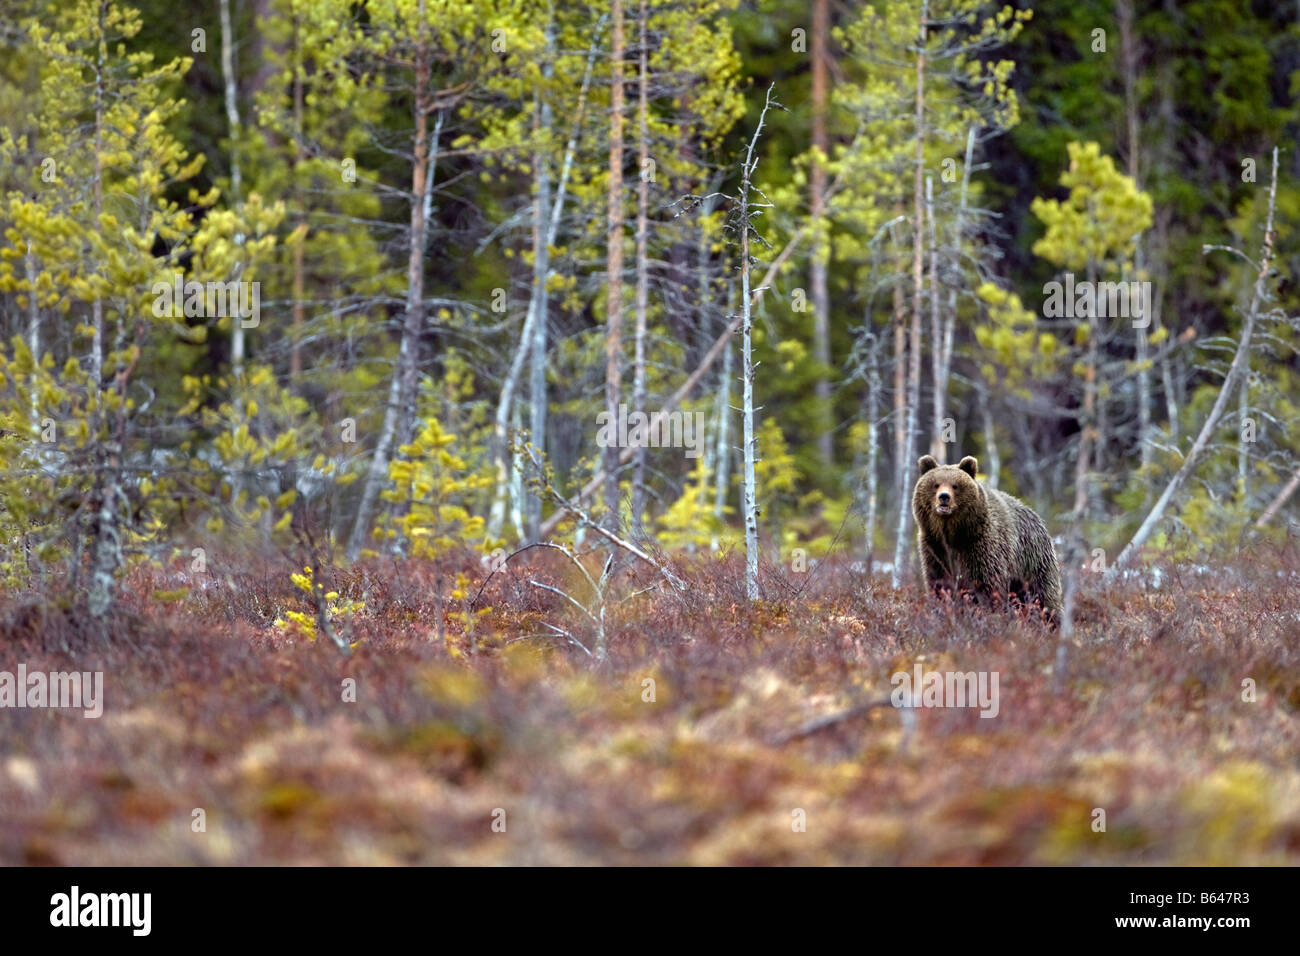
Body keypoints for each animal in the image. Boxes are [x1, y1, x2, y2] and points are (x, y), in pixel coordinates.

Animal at [909, 457, 1060, 629]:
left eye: (955, 485)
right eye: (936, 484)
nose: (944, 497)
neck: (952, 534)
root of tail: (1037, 517)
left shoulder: (980, 545)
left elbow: (986, 585)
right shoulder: (935, 547)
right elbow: (939, 583)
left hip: (1033, 561)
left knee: (1043, 594)